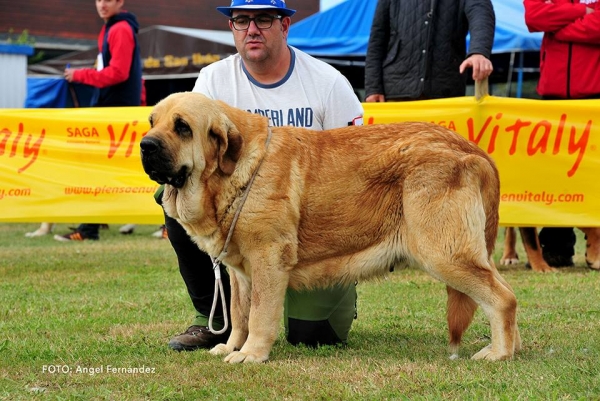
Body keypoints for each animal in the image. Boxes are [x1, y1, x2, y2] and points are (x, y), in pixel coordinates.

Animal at [138, 93, 516, 362]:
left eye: (183, 127)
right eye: (152, 122)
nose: (145, 144)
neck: (232, 174)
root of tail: (470, 148)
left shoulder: (267, 260)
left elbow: (259, 314)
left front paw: (251, 354)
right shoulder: (239, 272)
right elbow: (239, 312)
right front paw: (231, 347)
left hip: (444, 255)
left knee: (503, 299)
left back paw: (499, 353)